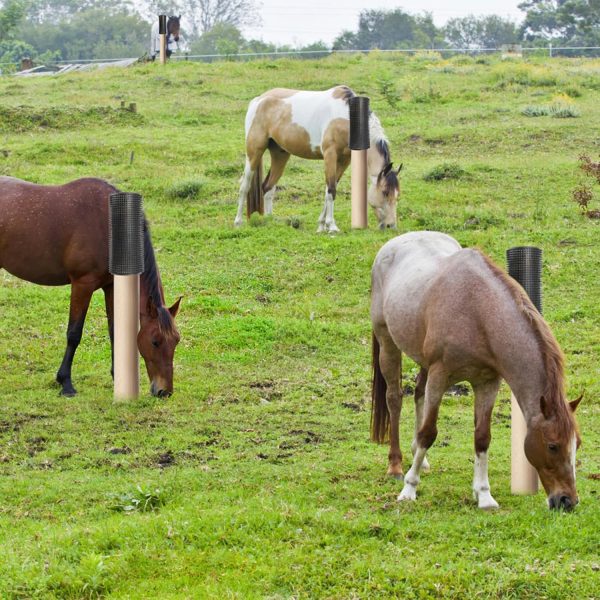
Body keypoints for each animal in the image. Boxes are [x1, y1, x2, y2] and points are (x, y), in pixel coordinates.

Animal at [1, 176, 182, 396]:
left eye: (176, 340)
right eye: (155, 341)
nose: (164, 391)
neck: (109, 226)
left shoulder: (111, 286)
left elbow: (115, 331)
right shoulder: (82, 284)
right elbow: (74, 333)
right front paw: (66, 382)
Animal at [234, 84, 404, 232]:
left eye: (397, 194)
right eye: (385, 192)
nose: (391, 225)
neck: (346, 117)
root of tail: (258, 100)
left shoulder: (344, 160)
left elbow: (328, 189)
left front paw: (322, 226)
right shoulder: (330, 155)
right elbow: (331, 190)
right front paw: (332, 226)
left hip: (280, 154)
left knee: (268, 187)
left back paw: (270, 221)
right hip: (254, 151)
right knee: (245, 185)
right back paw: (238, 221)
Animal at [370, 232, 580, 508]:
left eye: (577, 444)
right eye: (553, 446)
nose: (568, 501)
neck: (478, 314)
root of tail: (392, 244)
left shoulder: (487, 382)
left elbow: (482, 437)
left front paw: (484, 495)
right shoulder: (440, 376)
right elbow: (429, 432)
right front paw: (409, 489)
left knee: (418, 392)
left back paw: (420, 459)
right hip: (388, 343)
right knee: (394, 398)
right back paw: (395, 465)